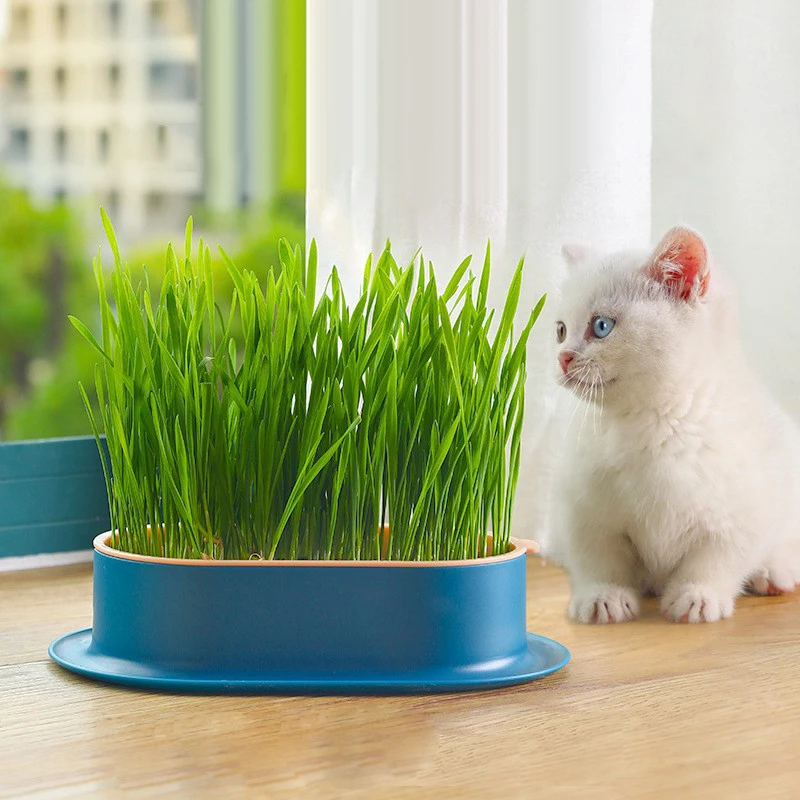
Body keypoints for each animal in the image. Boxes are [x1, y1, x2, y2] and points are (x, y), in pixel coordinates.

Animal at [552, 225, 800, 624]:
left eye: (601, 326)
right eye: (560, 330)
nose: (562, 358)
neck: (653, 419)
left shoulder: (745, 508)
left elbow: (718, 556)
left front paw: (697, 595)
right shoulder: (585, 507)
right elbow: (599, 557)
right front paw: (603, 595)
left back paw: (774, 572)